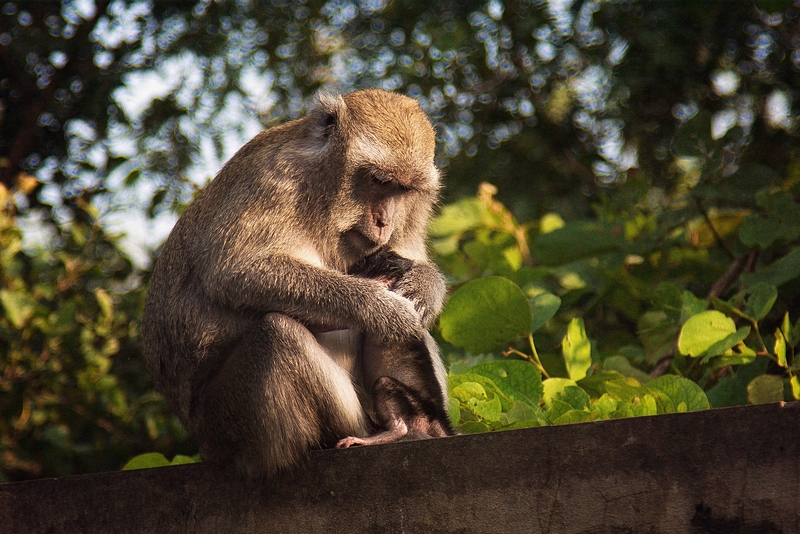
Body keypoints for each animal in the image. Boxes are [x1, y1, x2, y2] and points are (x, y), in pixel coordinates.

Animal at [141, 90, 454, 480]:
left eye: (404, 189)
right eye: (380, 181)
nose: (385, 220)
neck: (322, 189)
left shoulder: (411, 213)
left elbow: (409, 262)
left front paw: (424, 286)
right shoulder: (274, 180)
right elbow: (235, 272)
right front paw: (379, 307)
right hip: (226, 423)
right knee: (277, 333)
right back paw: (370, 434)